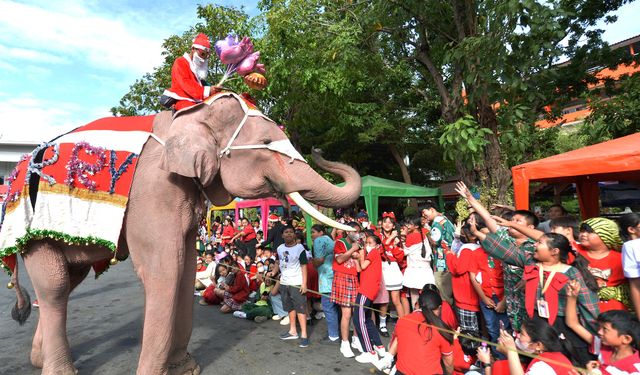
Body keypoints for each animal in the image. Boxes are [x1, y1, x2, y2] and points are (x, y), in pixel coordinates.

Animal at [6, 92, 360, 375]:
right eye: (267, 143)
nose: (318, 148)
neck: (189, 116)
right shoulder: (154, 192)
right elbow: (165, 271)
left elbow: (187, 268)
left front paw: (186, 369)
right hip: (32, 230)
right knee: (55, 287)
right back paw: (58, 369)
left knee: (67, 282)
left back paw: (39, 360)